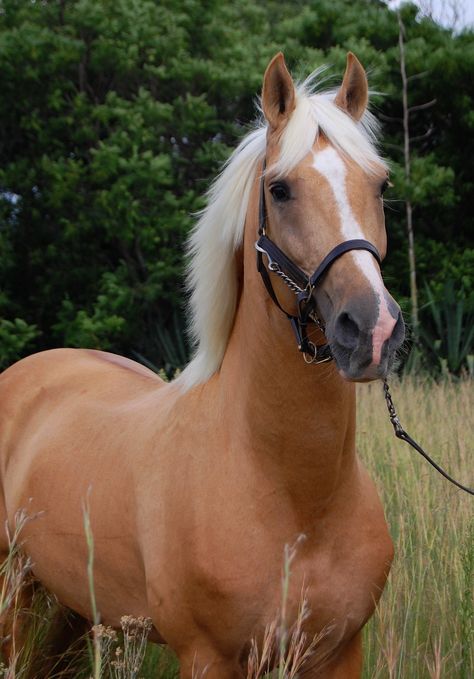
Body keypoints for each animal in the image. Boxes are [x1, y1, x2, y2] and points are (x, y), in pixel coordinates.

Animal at [1, 54, 406, 679]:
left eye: (380, 185)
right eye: (279, 189)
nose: (374, 330)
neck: (298, 503)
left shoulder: (338, 653)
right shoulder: (206, 656)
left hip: (74, 606)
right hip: (12, 589)